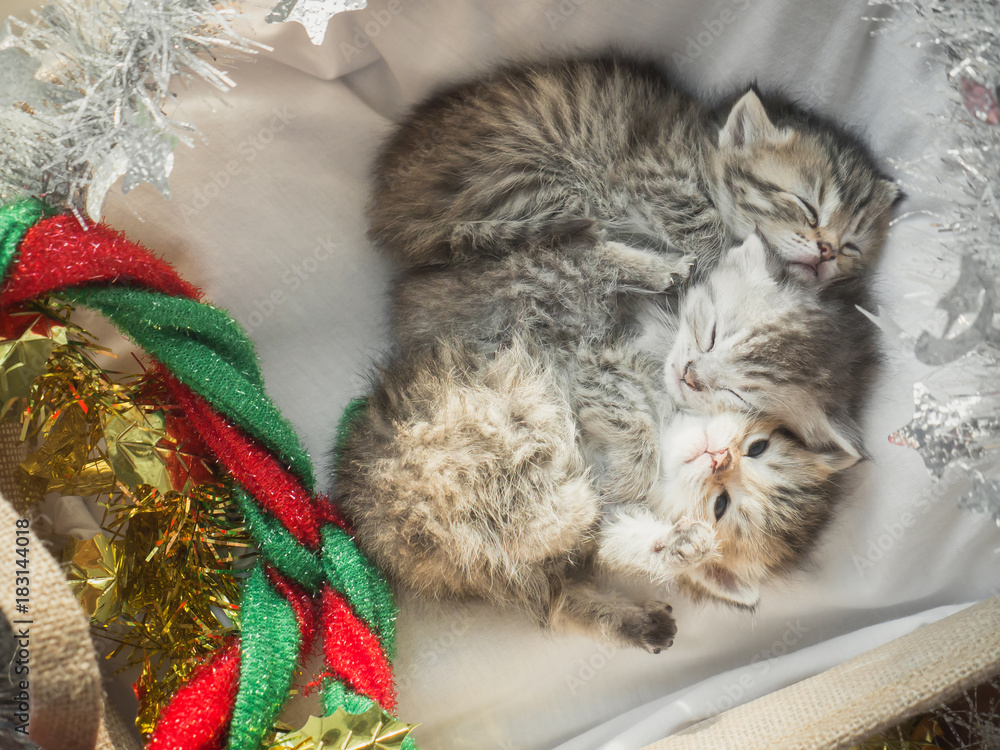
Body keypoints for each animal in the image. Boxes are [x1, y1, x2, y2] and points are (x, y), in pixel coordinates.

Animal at [368, 56, 900, 284]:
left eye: (851, 246)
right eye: (806, 205)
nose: (826, 251)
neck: (700, 146)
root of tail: (389, 208)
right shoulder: (649, 172)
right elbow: (705, 224)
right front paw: (722, 260)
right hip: (528, 177)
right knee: (573, 245)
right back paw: (658, 268)